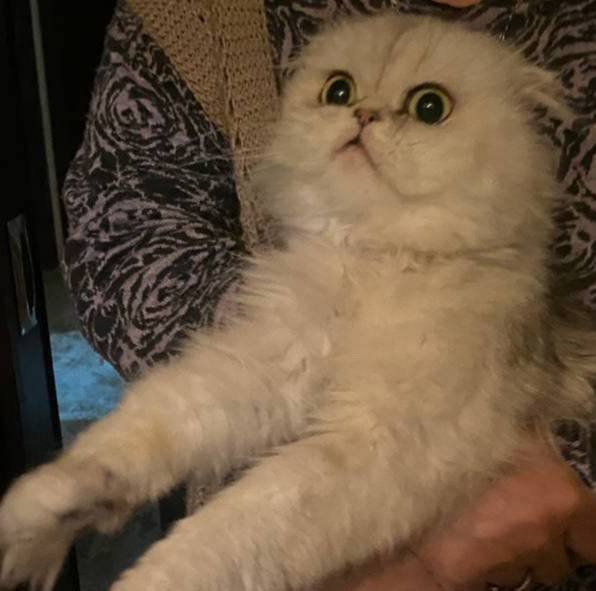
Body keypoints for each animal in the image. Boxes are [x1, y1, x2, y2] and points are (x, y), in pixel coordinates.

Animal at [1, 12, 595, 591]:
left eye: (430, 107)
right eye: (338, 90)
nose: (363, 116)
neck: (369, 264)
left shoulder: (379, 446)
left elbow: (227, 532)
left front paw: (146, 580)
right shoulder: (264, 367)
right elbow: (140, 435)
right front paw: (44, 514)